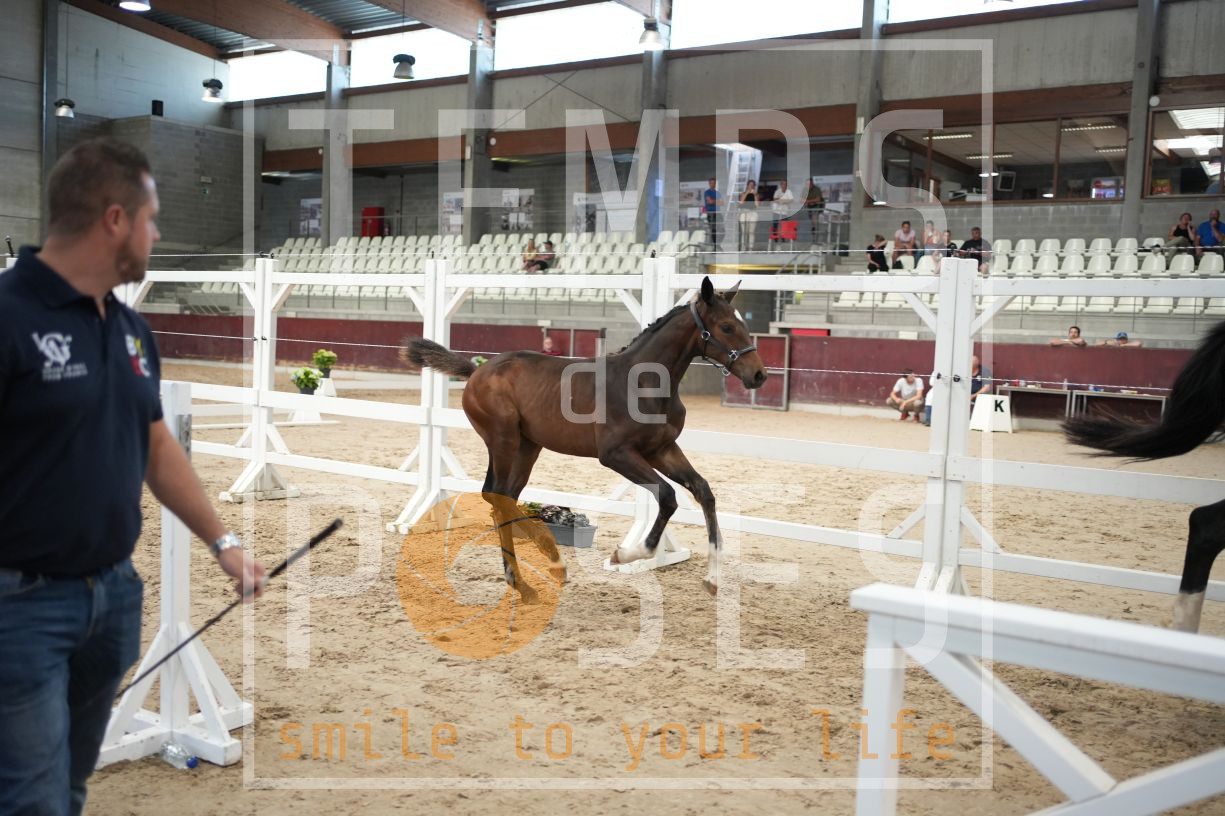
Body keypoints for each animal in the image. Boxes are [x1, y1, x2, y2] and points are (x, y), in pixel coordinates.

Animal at [404, 276, 767, 604]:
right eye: (726, 327)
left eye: (741, 324)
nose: (759, 375)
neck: (644, 382)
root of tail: (477, 370)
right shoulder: (616, 454)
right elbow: (667, 496)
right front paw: (625, 555)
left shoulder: (661, 449)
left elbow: (703, 491)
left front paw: (712, 580)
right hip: (503, 439)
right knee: (496, 495)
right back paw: (530, 577)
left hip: (528, 446)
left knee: (505, 497)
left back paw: (541, 570)